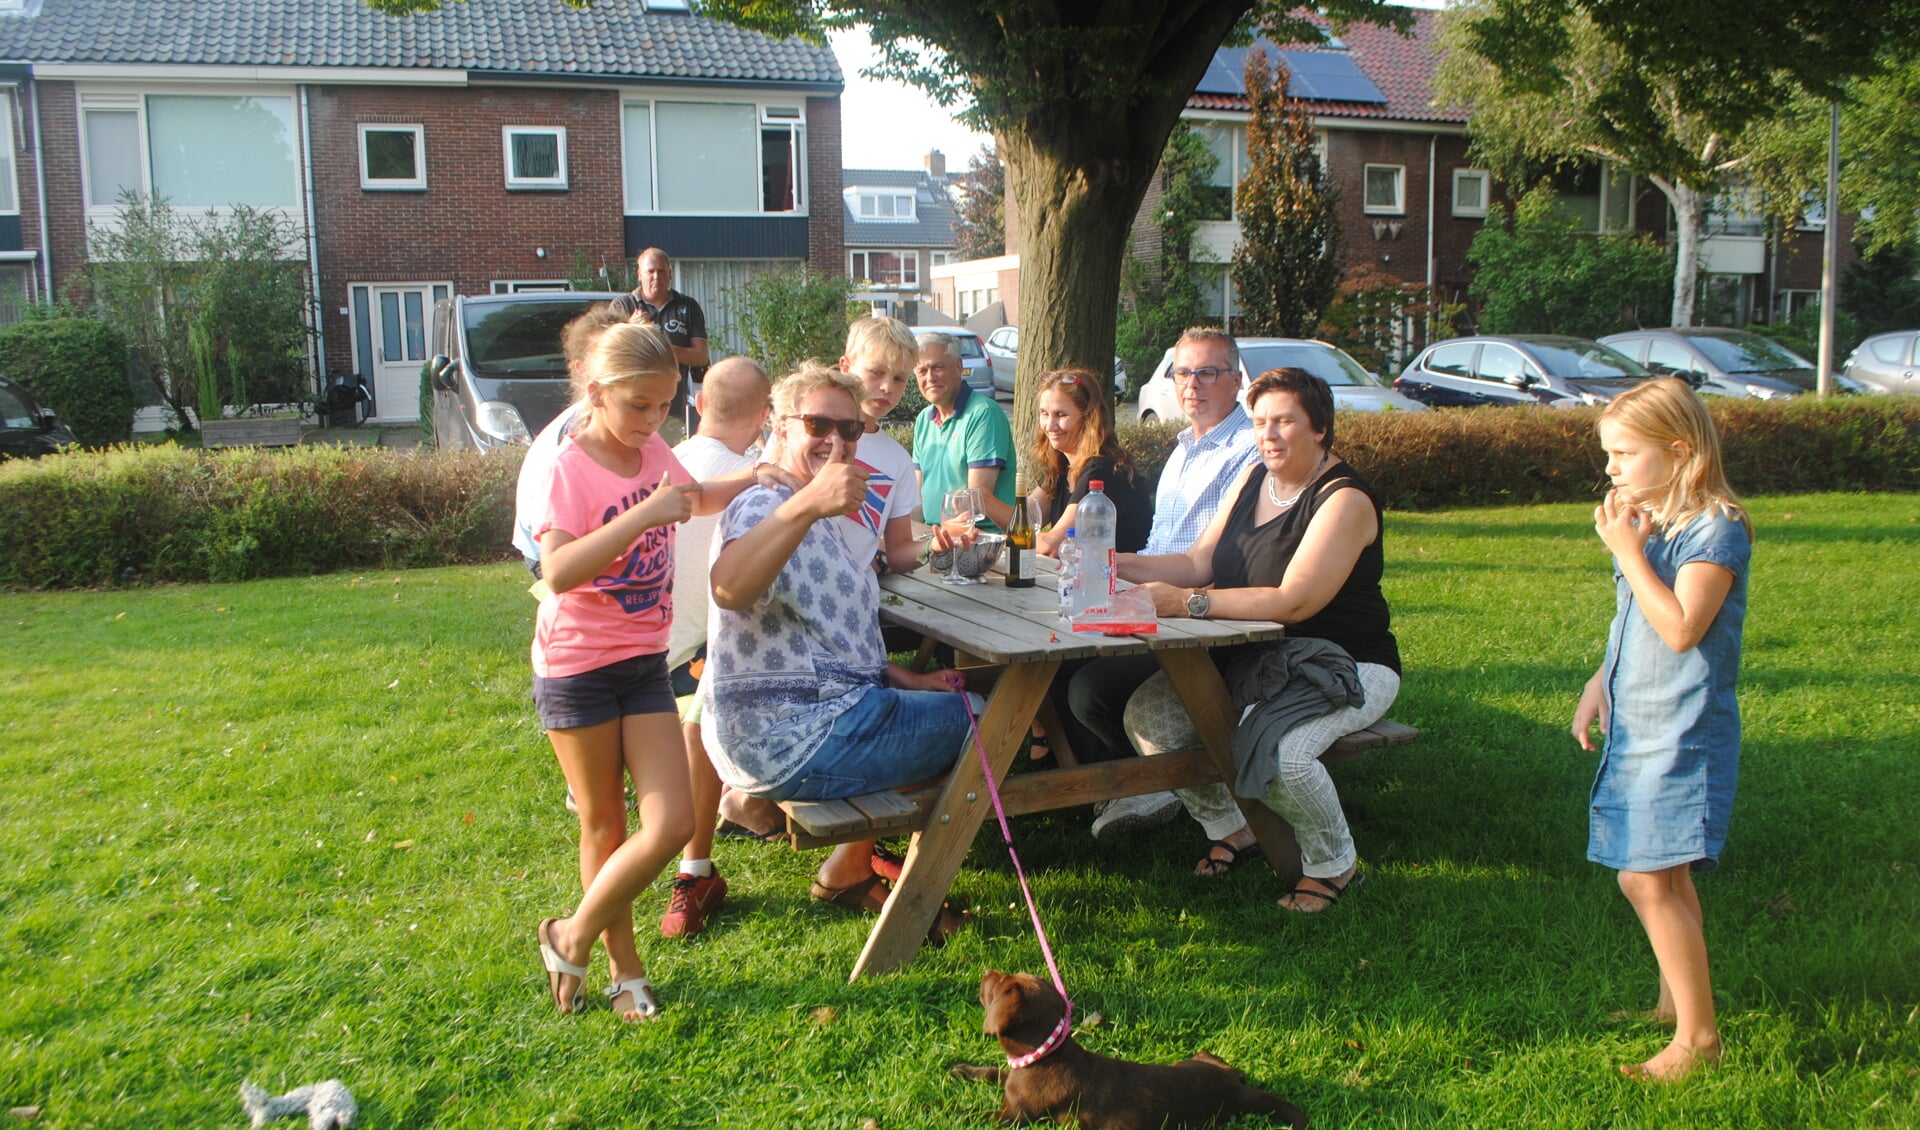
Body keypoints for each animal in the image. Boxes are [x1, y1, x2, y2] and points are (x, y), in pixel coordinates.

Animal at [952, 966, 1313, 1120]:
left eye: (999, 982)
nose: (987, 970)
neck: (1045, 1055)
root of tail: (1237, 1092)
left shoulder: (1017, 1117)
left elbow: (978, 1114)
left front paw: (946, 1109)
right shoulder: (1012, 1081)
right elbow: (994, 1072)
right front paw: (963, 1070)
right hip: (1198, 1061)